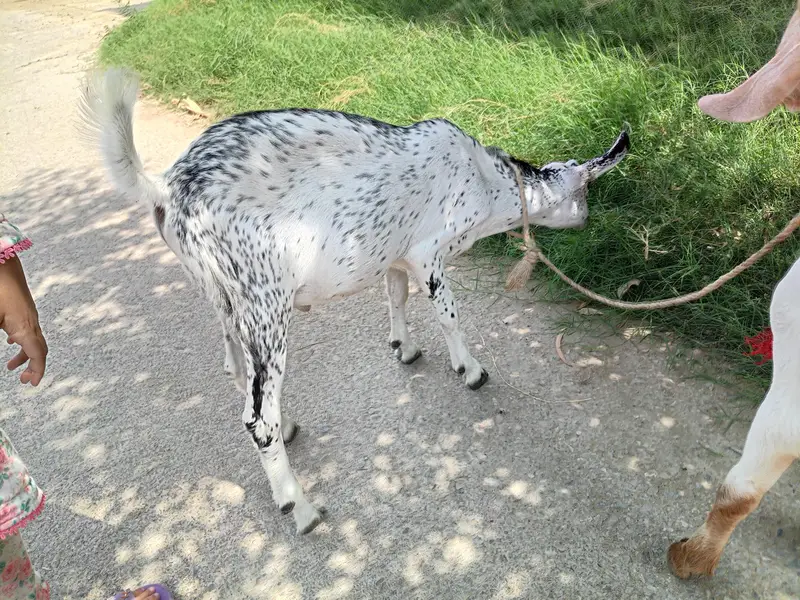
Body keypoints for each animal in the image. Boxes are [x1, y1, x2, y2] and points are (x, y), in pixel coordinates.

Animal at [80, 67, 628, 534]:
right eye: (584, 193)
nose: (587, 224)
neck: (485, 181)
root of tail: (166, 189)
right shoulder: (429, 252)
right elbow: (449, 316)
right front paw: (471, 371)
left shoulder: (396, 254)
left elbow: (396, 297)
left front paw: (404, 347)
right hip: (264, 298)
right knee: (257, 416)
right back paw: (299, 506)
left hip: (222, 296)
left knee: (238, 372)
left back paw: (290, 427)